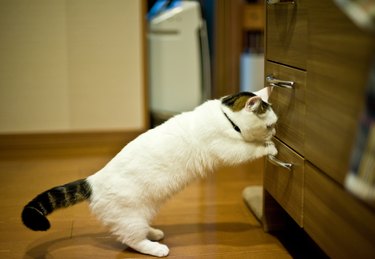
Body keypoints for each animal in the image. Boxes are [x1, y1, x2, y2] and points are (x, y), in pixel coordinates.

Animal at [21, 87, 280, 258]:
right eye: (269, 125)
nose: (276, 132)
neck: (225, 116)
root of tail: (93, 181)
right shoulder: (229, 149)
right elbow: (250, 149)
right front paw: (270, 147)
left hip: (143, 211)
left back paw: (154, 233)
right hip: (131, 217)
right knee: (131, 239)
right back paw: (156, 247)